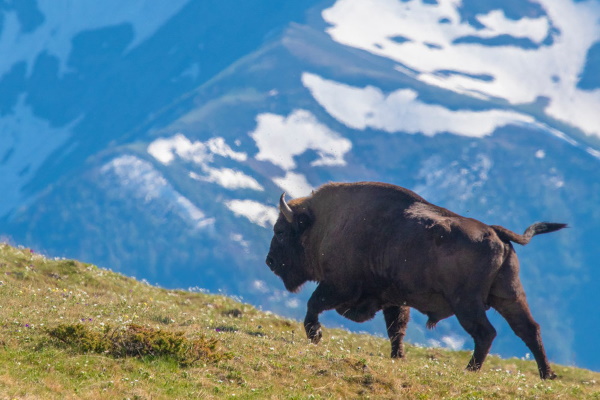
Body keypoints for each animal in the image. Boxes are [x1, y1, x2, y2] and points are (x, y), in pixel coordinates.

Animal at [264, 181, 564, 378]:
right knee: (529, 329)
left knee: (486, 333)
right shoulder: (393, 299)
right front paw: (398, 356)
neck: (325, 223)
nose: (269, 262)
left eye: (280, 231)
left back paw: (470, 370)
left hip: (467, 304)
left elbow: (314, 305)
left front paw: (315, 335)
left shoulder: (338, 286)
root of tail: (495, 232)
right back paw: (546, 375)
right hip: (509, 296)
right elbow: (396, 328)